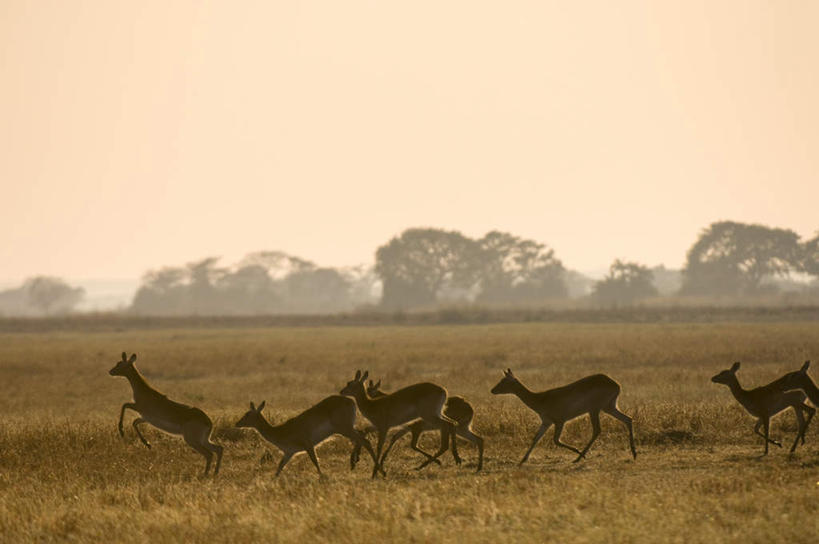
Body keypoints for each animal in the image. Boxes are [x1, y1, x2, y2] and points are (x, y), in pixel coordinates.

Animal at [234, 396, 382, 480]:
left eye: (248, 414)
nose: (237, 423)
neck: (281, 431)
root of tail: (351, 401)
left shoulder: (308, 445)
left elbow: (315, 461)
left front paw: (322, 477)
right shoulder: (289, 452)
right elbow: (279, 467)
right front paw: (272, 480)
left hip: (344, 428)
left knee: (365, 440)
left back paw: (377, 471)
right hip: (347, 429)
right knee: (362, 436)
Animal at [350, 378, 484, 472]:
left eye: (370, 390)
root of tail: (469, 406)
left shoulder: (415, 428)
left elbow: (412, 445)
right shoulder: (404, 428)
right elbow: (393, 439)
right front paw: (379, 462)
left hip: (450, 427)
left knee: (447, 441)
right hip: (463, 429)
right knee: (478, 439)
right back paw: (476, 467)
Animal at [490, 366, 636, 464]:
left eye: (504, 381)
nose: (492, 390)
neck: (540, 399)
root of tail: (616, 384)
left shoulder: (559, 421)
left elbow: (556, 440)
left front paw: (577, 452)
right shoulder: (546, 422)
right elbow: (536, 438)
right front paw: (522, 460)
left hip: (595, 409)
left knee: (597, 430)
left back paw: (578, 458)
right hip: (609, 407)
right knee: (628, 419)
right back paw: (634, 453)